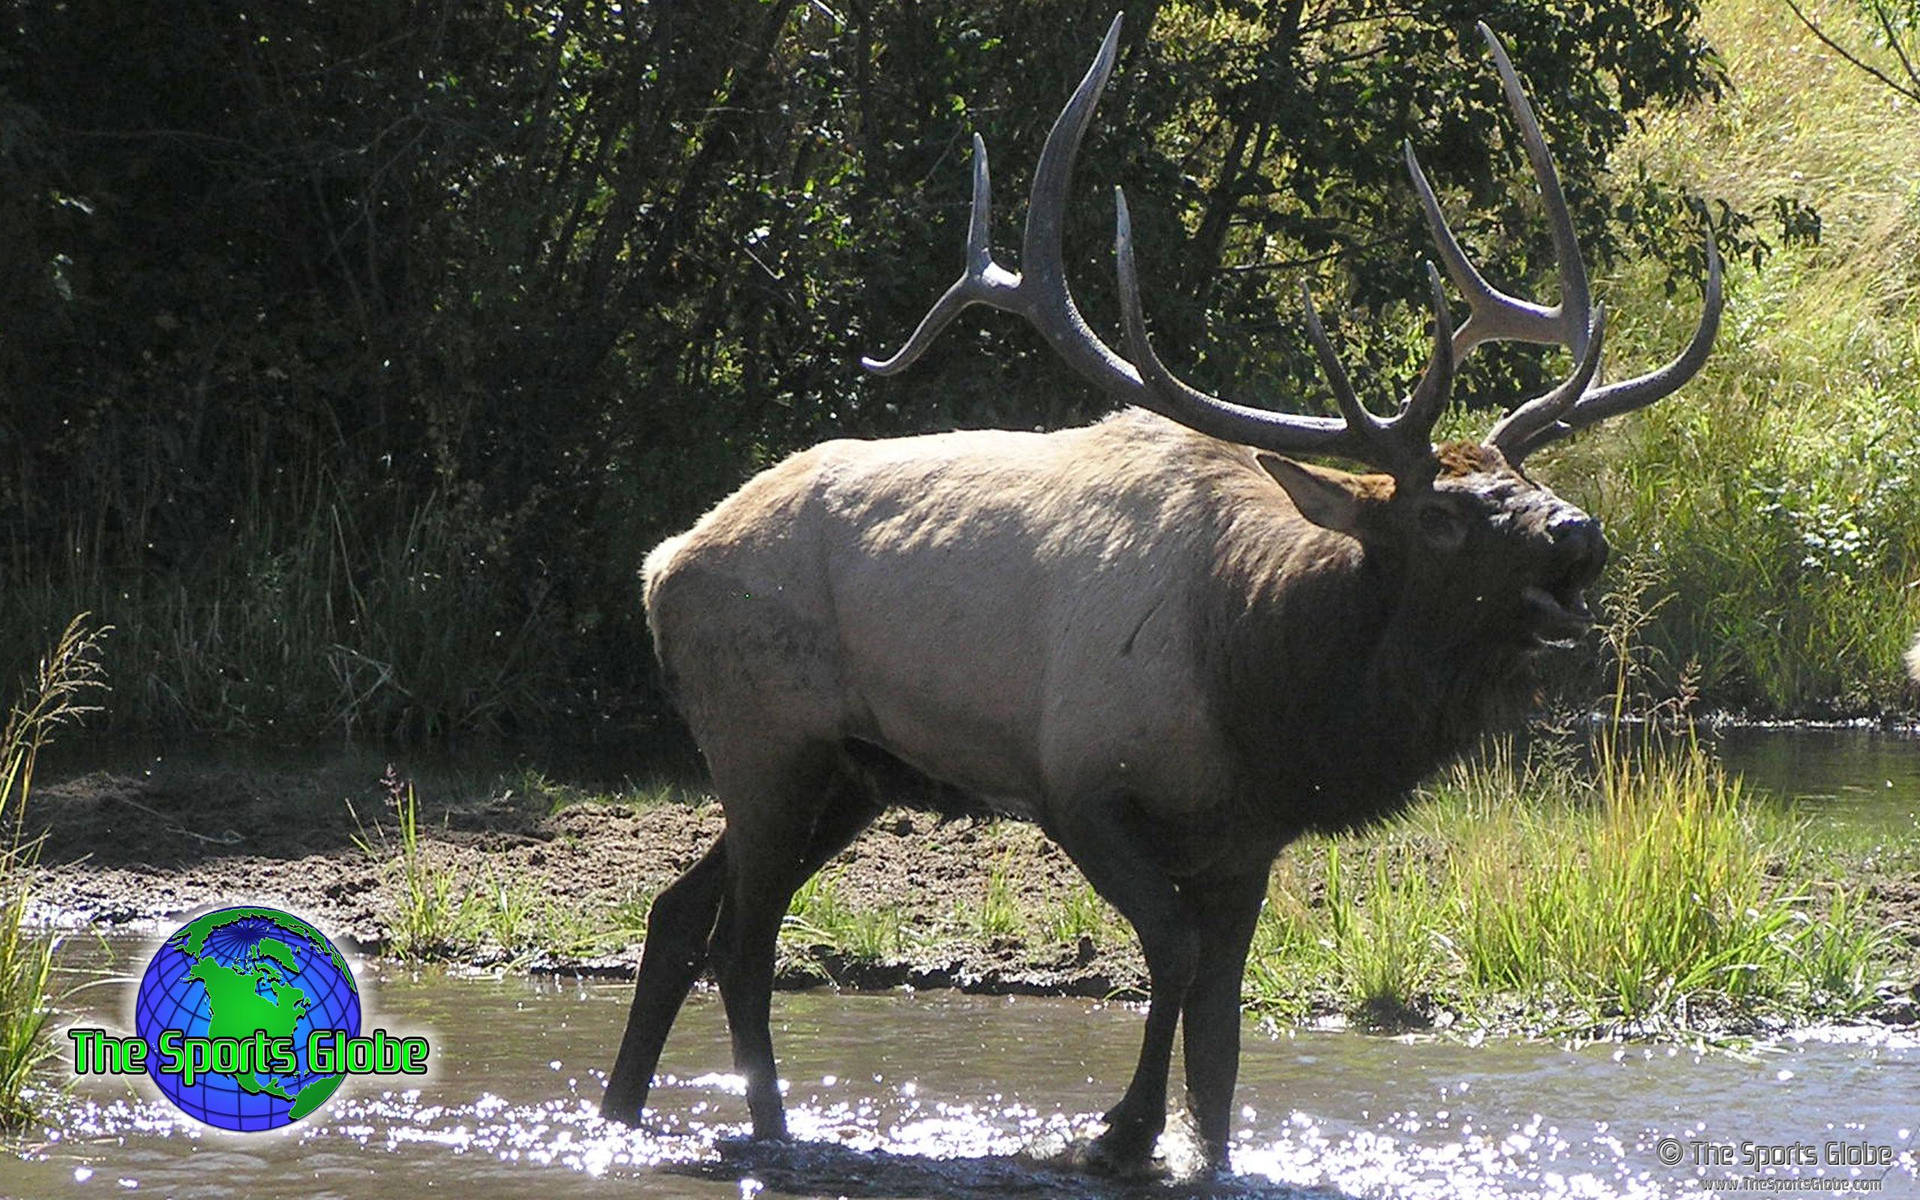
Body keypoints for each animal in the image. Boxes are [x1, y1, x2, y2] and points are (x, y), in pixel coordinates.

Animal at [601, 14, 1721, 1174]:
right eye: (1443, 515)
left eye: (1523, 477)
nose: (1580, 534)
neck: (1264, 687)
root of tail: (661, 566)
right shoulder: (1078, 785)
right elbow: (1174, 959)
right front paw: (1116, 1133)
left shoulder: (1246, 838)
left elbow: (1222, 1026)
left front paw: (1202, 1148)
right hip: (768, 742)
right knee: (740, 939)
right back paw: (772, 1131)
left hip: (845, 774)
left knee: (676, 914)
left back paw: (625, 1111)